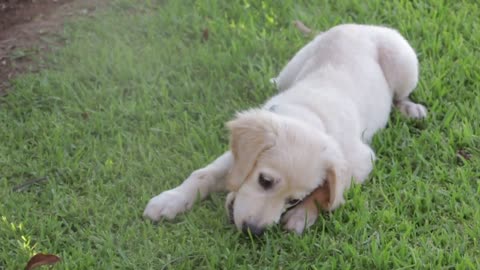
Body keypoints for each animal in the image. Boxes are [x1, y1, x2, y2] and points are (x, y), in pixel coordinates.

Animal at [143, 23, 428, 234]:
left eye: (293, 200)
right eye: (265, 181)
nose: (254, 232)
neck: (308, 114)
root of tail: (362, 26)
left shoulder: (360, 161)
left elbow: (327, 192)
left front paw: (302, 215)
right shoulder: (237, 155)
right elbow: (202, 174)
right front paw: (170, 200)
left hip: (405, 63)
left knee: (400, 96)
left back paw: (411, 109)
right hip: (296, 62)